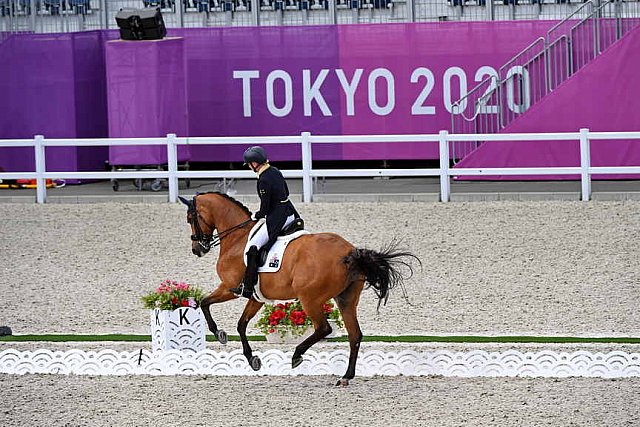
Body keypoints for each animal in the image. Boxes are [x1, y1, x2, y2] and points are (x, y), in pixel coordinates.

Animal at [179, 192, 420, 386]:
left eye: (191, 218)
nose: (197, 249)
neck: (237, 238)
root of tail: (349, 251)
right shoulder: (256, 297)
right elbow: (240, 325)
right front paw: (252, 359)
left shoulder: (230, 288)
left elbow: (204, 303)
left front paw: (219, 333)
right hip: (345, 299)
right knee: (355, 335)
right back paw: (346, 377)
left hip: (309, 299)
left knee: (324, 328)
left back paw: (297, 355)